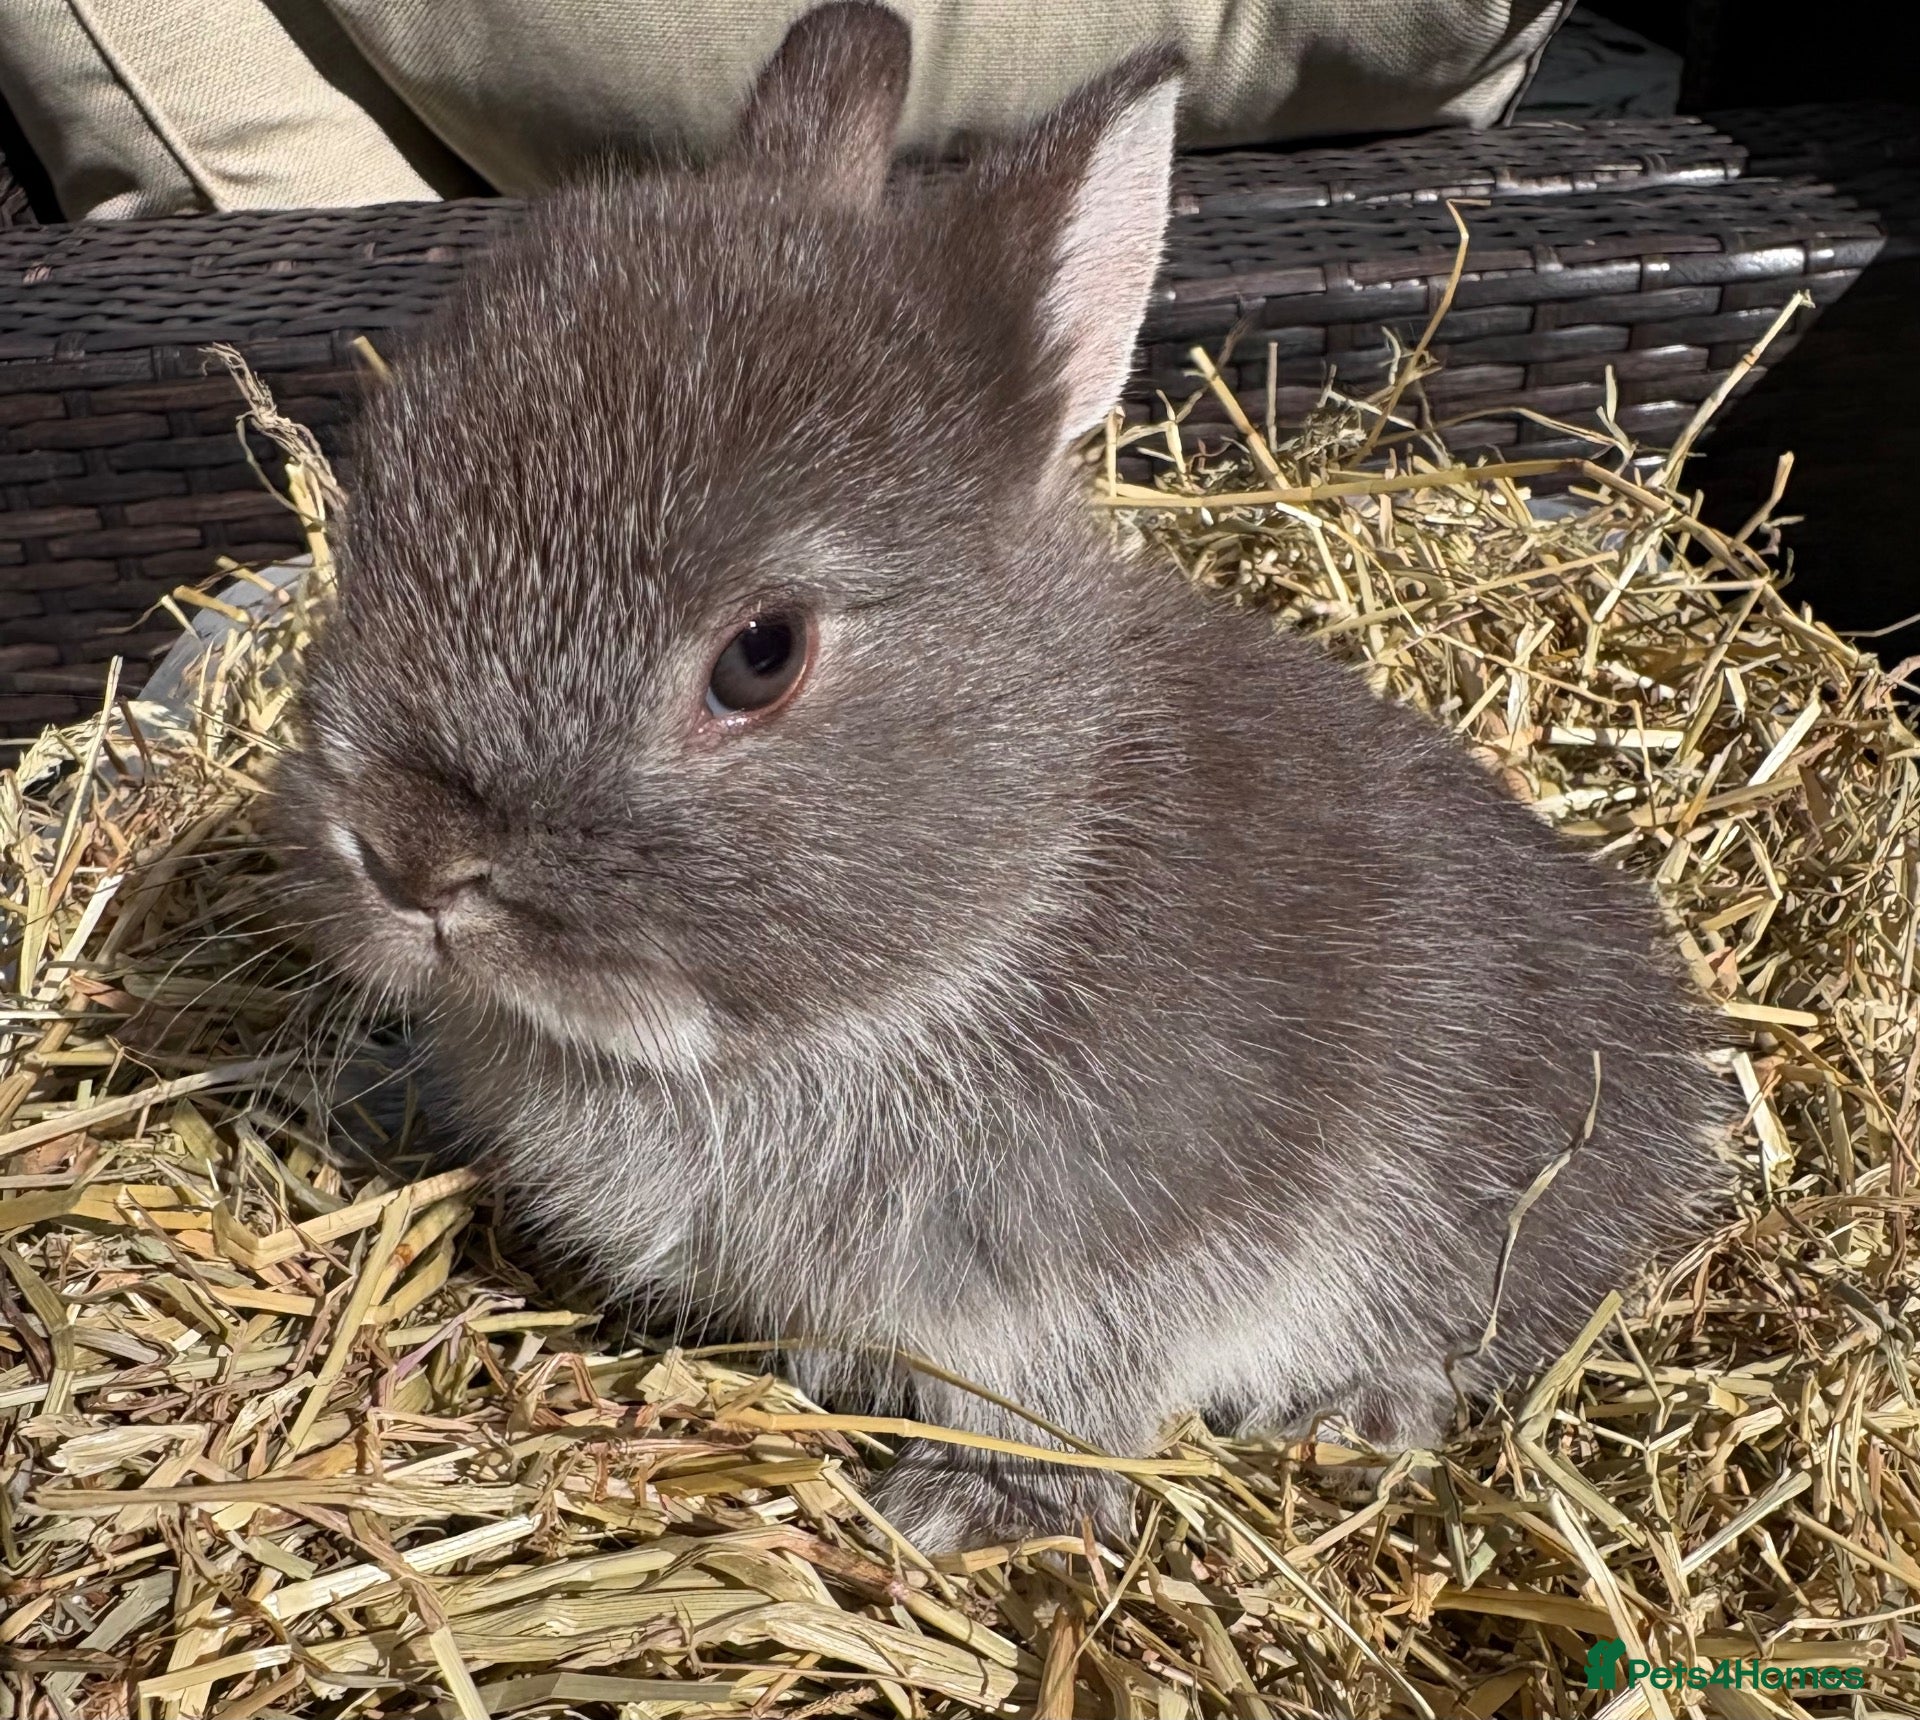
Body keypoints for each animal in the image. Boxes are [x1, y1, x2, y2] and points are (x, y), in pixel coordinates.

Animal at [273, 0, 1735, 1552]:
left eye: (761, 655)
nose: (409, 855)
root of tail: (1683, 1082)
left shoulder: (1115, 1258)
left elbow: (1068, 1396)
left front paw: (957, 1509)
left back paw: (1356, 1417)